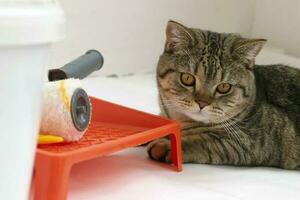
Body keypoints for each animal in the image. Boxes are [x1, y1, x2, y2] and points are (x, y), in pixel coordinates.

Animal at [147, 20, 300, 170]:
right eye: (187, 78)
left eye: (224, 87)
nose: (202, 103)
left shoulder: (248, 143)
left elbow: (203, 142)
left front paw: (167, 146)